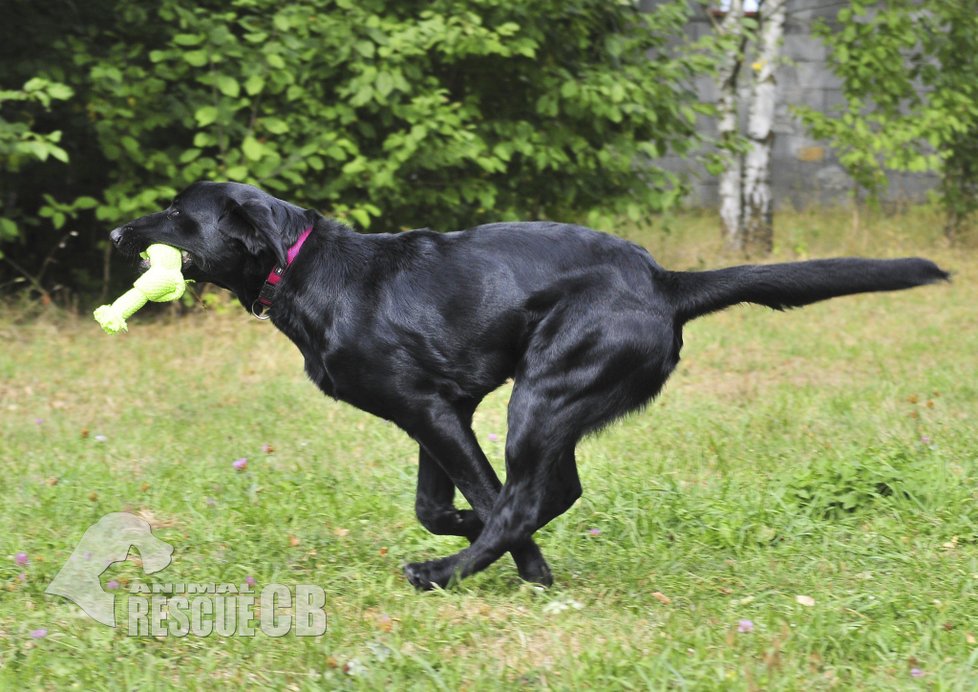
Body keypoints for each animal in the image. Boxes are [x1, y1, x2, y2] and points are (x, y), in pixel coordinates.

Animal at [108, 180, 944, 588]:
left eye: (179, 215)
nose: (115, 233)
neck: (309, 268)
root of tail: (665, 282)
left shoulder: (436, 409)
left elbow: (485, 500)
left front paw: (527, 569)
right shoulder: (434, 413)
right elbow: (435, 505)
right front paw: (478, 534)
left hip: (542, 395)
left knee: (527, 497)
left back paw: (444, 576)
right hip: (550, 402)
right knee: (552, 490)